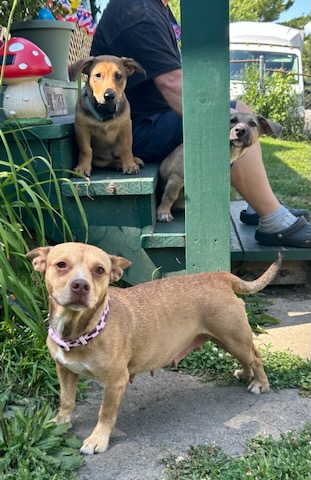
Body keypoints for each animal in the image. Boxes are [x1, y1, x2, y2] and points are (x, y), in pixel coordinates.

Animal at [25, 244, 282, 454]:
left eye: (99, 270)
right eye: (61, 265)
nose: (80, 285)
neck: (80, 330)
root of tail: (218, 276)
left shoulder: (115, 383)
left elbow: (105, 413)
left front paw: (98, 439)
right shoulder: (65, 370)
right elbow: (67, 399)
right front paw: (62, 421)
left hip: (234, 338)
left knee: (256, 357)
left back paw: (260, 383)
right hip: (226, 340)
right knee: (248, 359)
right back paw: (246, 374)